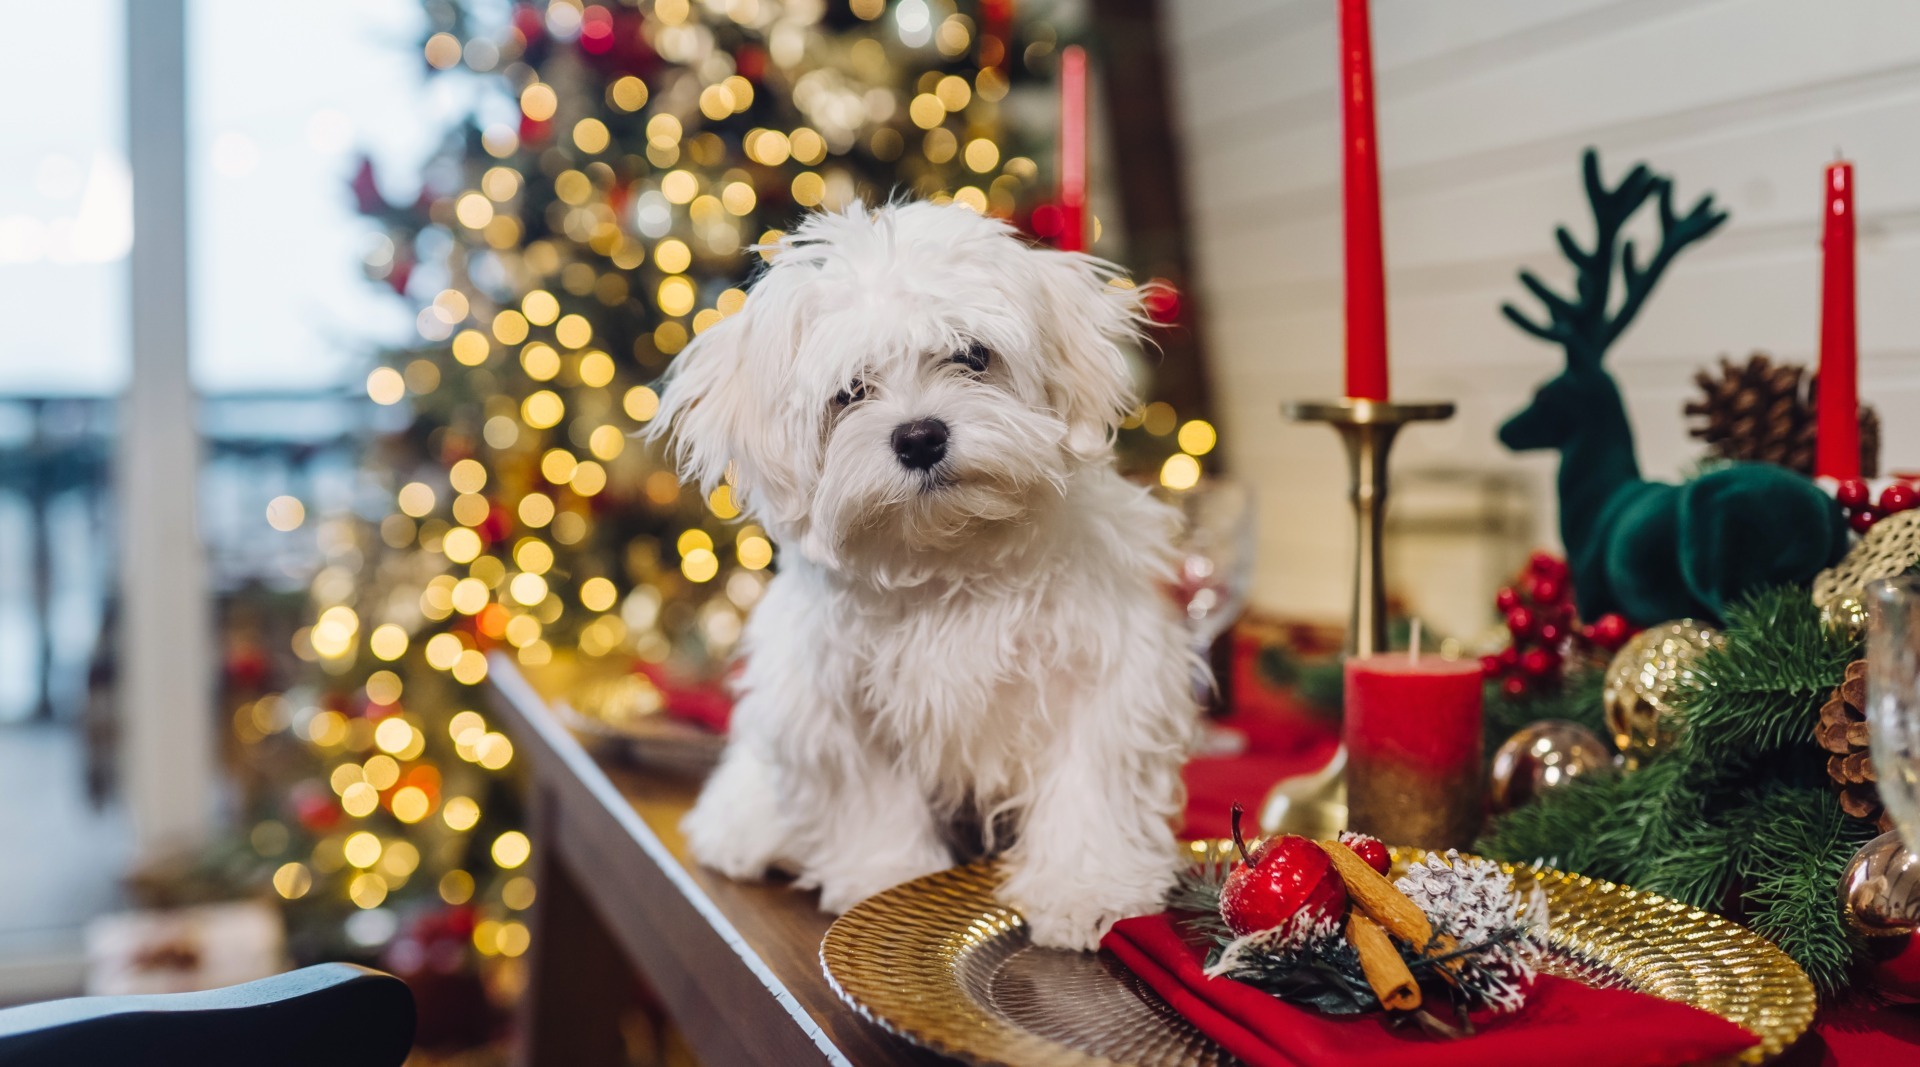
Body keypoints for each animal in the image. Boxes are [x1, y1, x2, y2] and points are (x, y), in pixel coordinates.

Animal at [660, 202, 1198, 951]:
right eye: (849, 392)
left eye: (972, 356)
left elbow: (1088, 783)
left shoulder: (1104, 676)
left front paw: (1086, 888)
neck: (951, 558)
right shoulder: (838, 704)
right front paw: (887, 879)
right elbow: (872, 798)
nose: (919, 437)